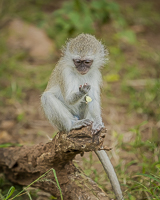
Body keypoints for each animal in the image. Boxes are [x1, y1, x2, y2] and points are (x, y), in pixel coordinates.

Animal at [41, 33, 124, 199]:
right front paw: (81, 91)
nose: (82, 68)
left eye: (87, 62)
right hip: (65, 120)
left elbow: (94, 99)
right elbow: (68, 98)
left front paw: (98, 122)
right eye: (77, 61)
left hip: (81, 114)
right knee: (47, 97)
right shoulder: (65, 73)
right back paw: (72, 125)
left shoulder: (95, 74)